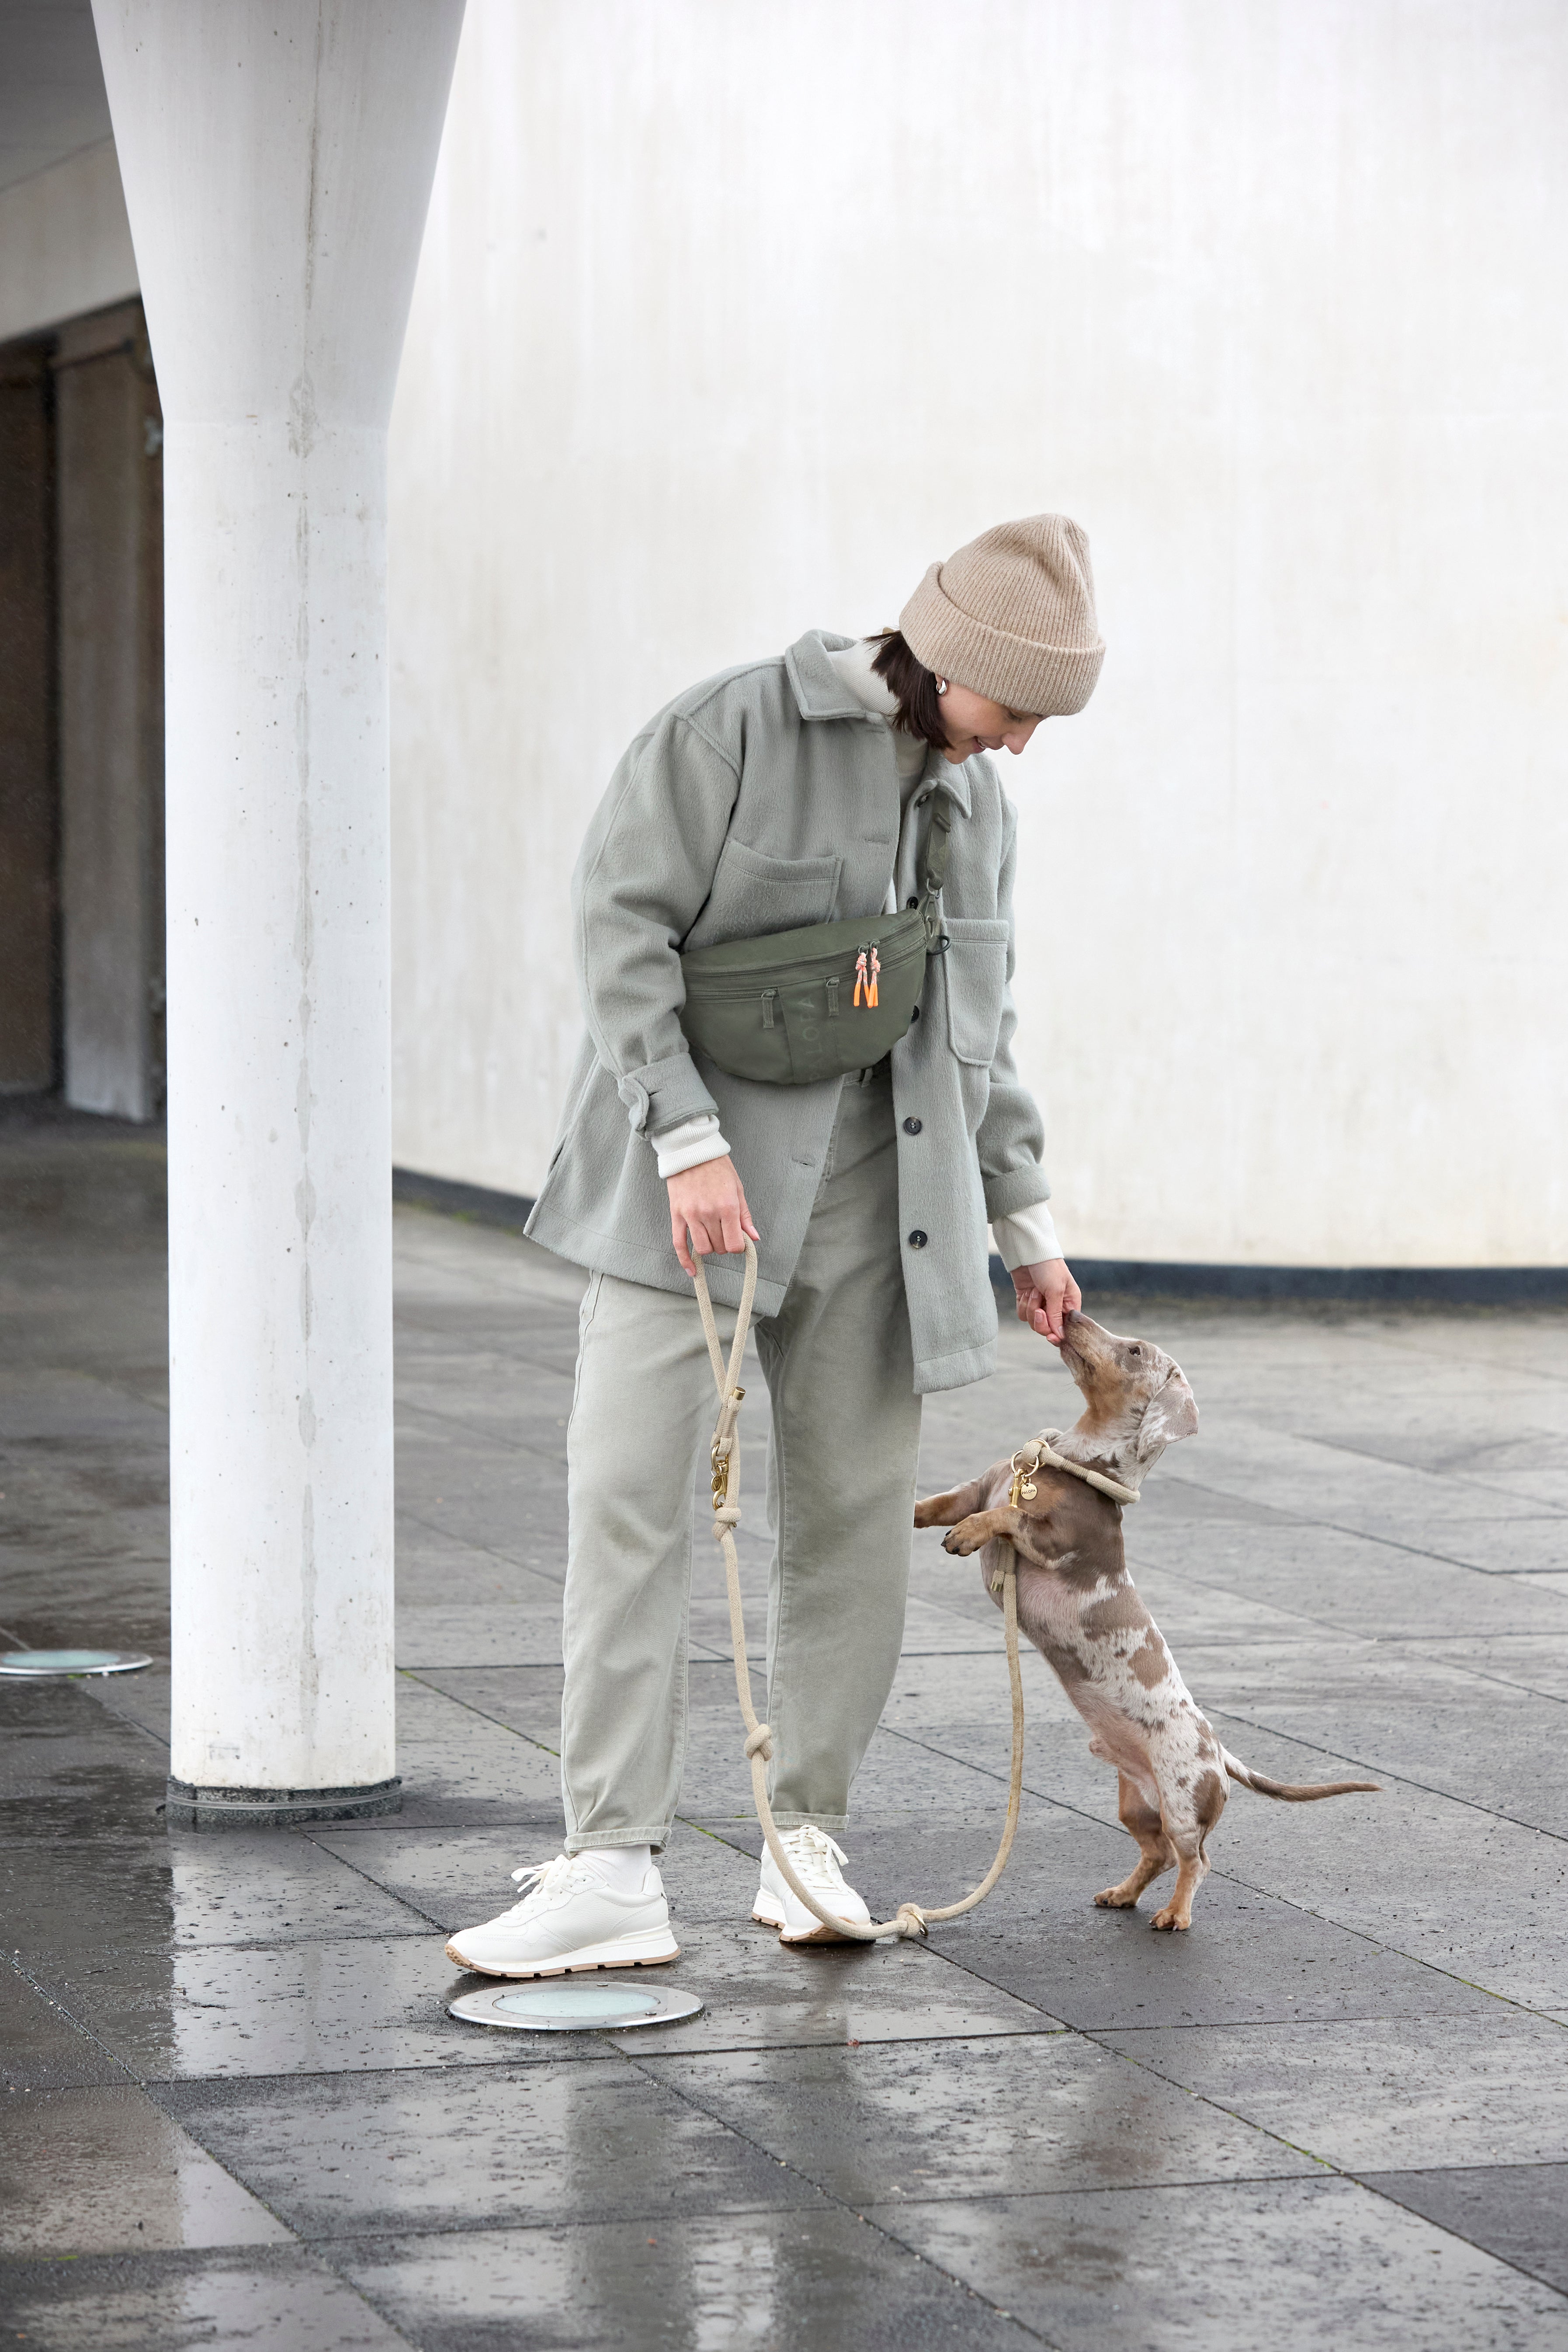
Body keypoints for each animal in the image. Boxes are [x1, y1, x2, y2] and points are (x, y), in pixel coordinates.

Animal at [912, 1308, 1382, 1929]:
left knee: (1195, 1860)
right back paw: (1123, 1894)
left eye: (1134, 1350)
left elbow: (1008, 1517)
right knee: (1156, 1853)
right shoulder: (974, 1489)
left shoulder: (1054, 1541)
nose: (1069, 1311)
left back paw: (1175, 1914)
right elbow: (944, 1504)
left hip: (1183, 1801)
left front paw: (967, 1535)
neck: (1071, 1463)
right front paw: (914, 1513)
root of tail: (1218, 1751)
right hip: (1134, 1802)